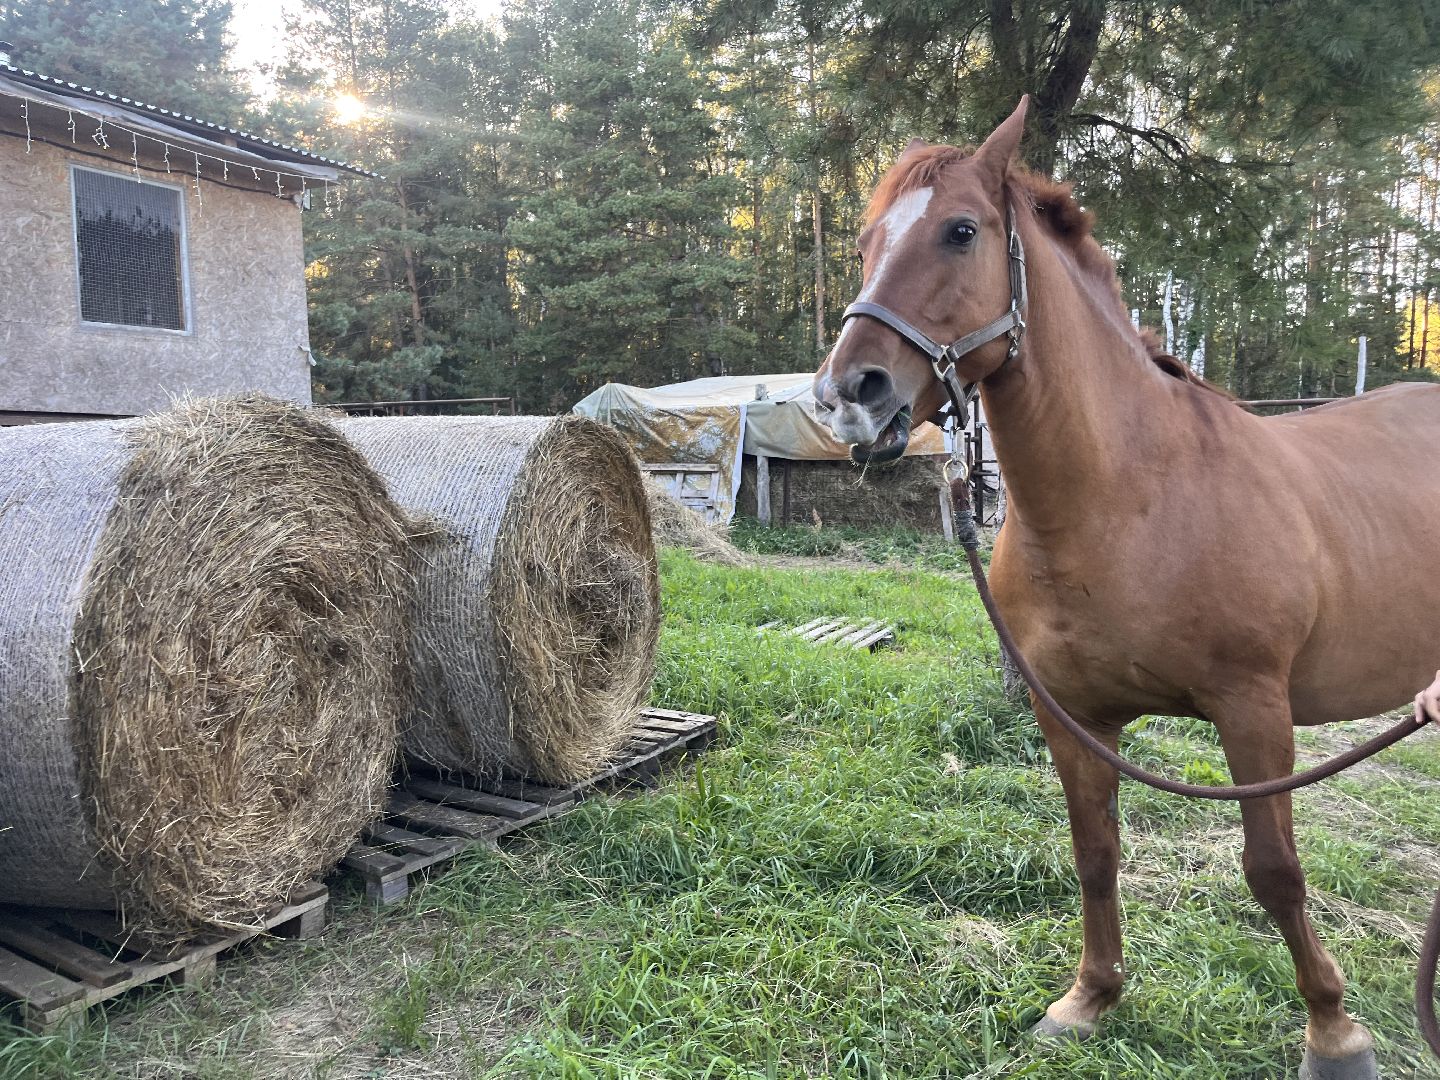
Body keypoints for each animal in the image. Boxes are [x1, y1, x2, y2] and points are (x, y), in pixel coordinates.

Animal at [813, 96, 1440, 1079]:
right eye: (868, 241)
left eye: (961, 231)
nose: (848, 396)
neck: (1130, 501)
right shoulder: (1074, 716)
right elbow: (1095, 852)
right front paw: (1089, 999)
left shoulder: (1253, 711)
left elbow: (1274, 872)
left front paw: (1334, 1033)